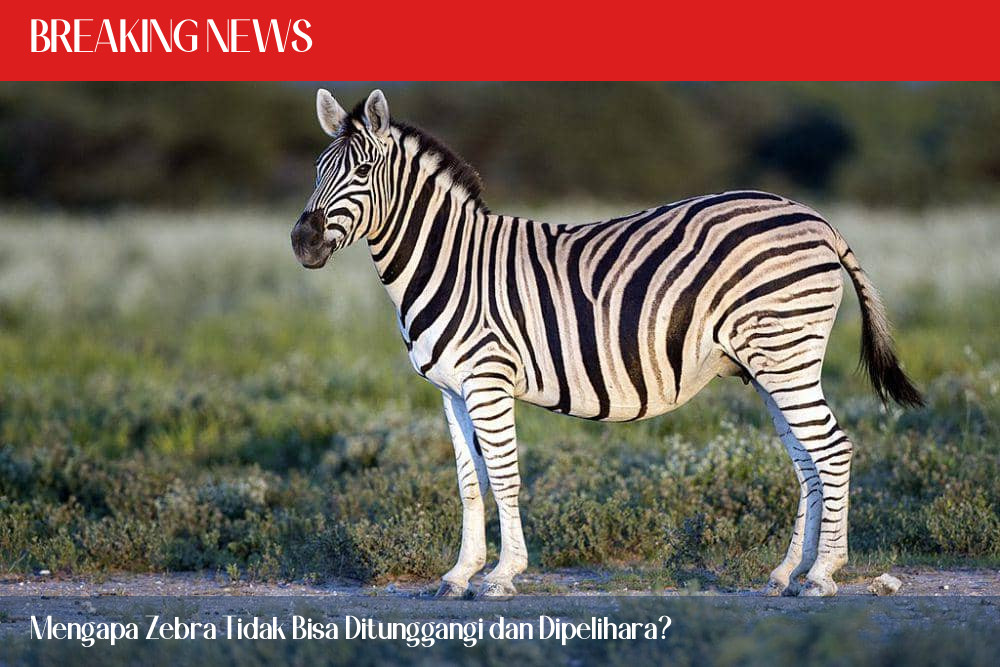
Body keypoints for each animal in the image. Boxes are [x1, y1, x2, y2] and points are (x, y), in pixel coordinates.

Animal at [291, 88, 923, 599]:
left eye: (362, 171)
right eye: (318, 170)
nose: (302, 242)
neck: (449, 261)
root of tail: (816, 218)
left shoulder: (488, 379)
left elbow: (504, 476)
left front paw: (501, 576)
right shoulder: (450, 389)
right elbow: (470, 483)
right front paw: (459, 575)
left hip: (785, 353)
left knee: (832, 449)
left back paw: (822, 575)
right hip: (771, 363)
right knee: (808, 461)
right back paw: (787, 572)